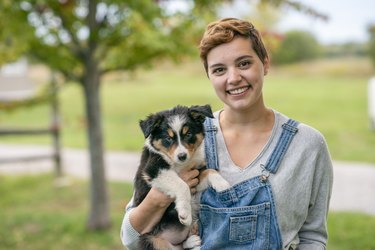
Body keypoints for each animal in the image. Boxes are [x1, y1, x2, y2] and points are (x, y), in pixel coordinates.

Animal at [134, 104, 231, 249]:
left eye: (188, 134)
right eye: (168, 138)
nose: (182, 156)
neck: (182, 164)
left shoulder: (195, 175)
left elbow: (209, 171)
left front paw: (223, 185)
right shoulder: (154, 170)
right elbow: (182, 185)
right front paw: (185, 213)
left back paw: (191, 241)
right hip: (152, 240)